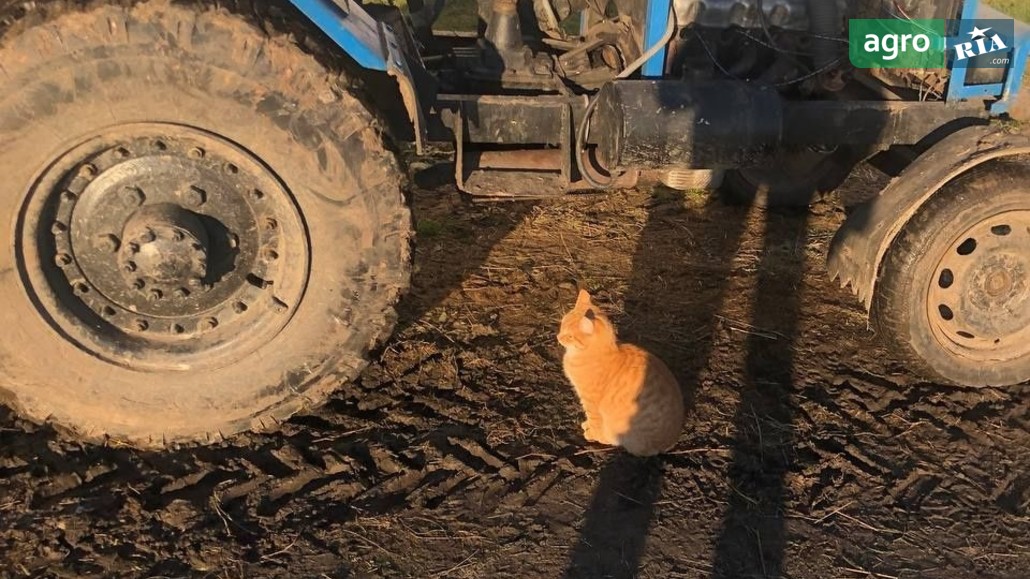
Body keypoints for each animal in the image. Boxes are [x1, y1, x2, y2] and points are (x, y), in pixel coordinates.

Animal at [556, 288, 683, 455]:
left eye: (570, 336)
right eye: (562, 325)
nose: (558, 337)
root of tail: (668, 443)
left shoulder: (590, 401)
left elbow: (594, 420)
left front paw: (592, 433)